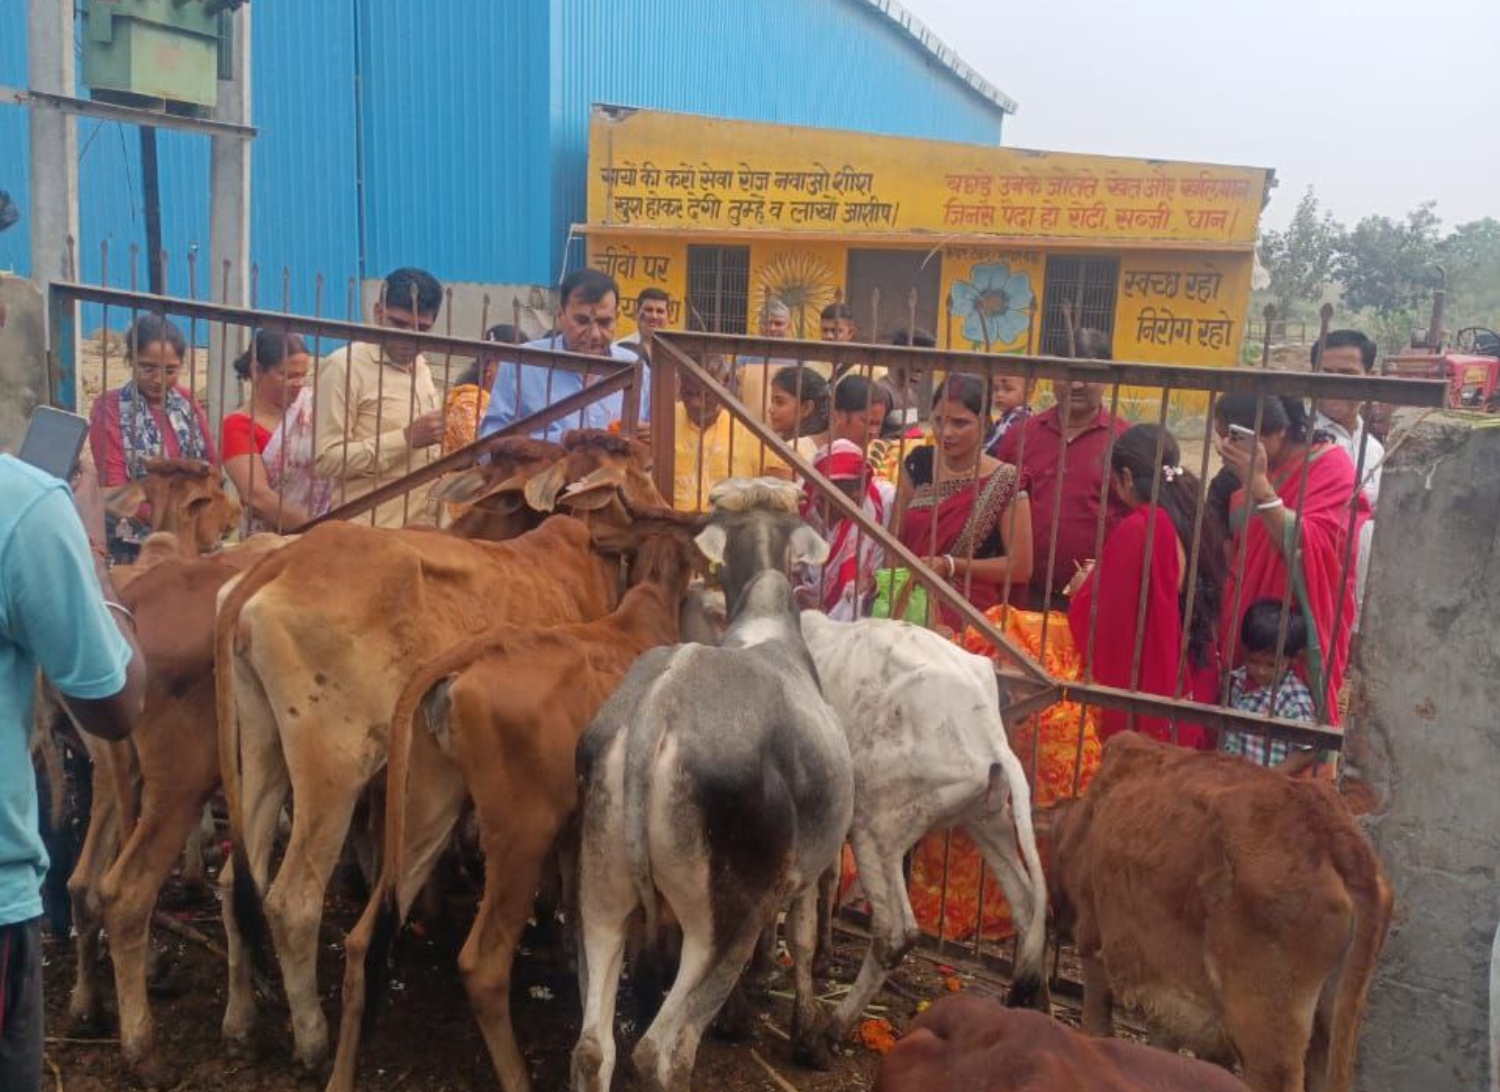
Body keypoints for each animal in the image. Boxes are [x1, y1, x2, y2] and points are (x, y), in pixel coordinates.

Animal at [214, 429, 672, 1074]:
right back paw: (312, 1039)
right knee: (292, 901)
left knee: (238, 881)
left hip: (261, 747)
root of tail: (279, 564)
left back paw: (239, 1021)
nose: (672, 506)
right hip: (333, 766)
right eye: (639, 469)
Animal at [328, 519, 702, 1092]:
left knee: (361, 940)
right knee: (483, 966)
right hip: (521, 836)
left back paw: (341, 1074)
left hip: (427, 812)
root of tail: (467, 658)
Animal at [570, 483, 858, 1092]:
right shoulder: (811, 864)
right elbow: (802, 941)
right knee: (663, 1052)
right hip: (726, 918)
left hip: (599, 892)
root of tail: (656, 712)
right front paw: (805, 1035)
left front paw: (740, 1013)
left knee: (591, 1048)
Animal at [804, 609, 1050, 1044]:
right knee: (1029, 906)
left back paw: (830, 1030)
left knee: (896, 933)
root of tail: (992, 742)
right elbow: (828, 878)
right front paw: (821, 958)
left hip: (876, 828)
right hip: (987, 821)